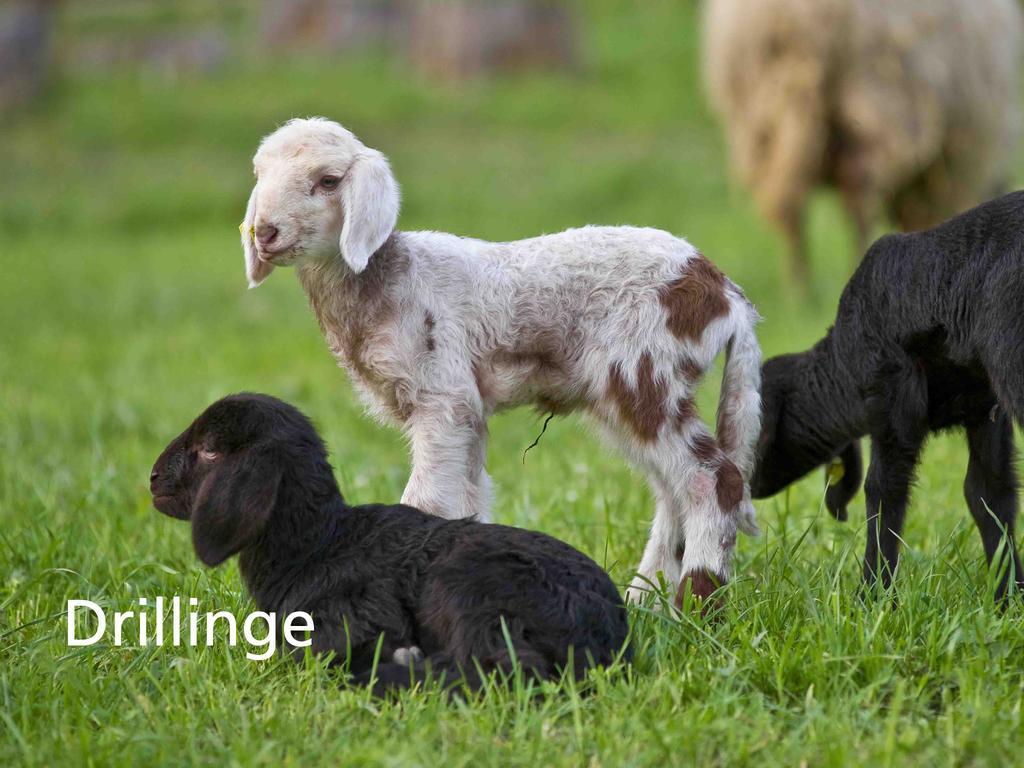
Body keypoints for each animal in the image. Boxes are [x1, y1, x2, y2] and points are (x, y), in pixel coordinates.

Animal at [149, 393, 630, 696]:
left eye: (210, 450)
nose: (152, 478)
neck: (316, 546)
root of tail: (602, 635)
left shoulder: (357, 618)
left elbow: (314, 655)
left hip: (466, 584)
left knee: (507, 667)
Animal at [704, 0, 1024, 286]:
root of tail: (804, 17)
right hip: (877, 101)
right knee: (857, 197)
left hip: (763, 114)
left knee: (791, 205)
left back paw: (800, 290)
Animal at [745, 192, 1024, 602]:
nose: (747, 486)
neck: (842, 368)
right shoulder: (984, 407)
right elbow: (987, 492)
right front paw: (1009, 595)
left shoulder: (893, 397)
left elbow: (882, 489)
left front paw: (872, 593)